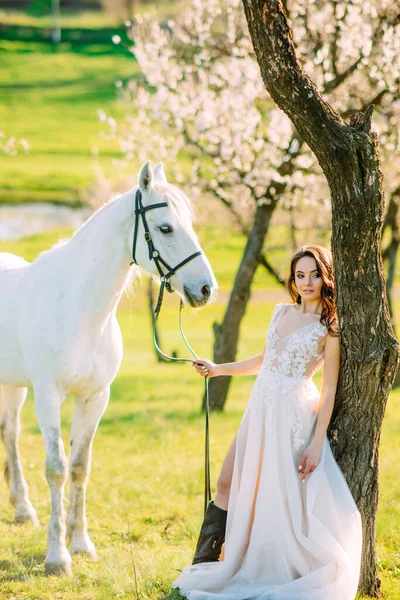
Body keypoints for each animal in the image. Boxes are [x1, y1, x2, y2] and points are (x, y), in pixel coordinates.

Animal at [0, 162, 216, 576]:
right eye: (166, 228)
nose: (206, 289)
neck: (80, 308)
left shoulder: (95, 398)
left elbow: (80, 467)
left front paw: (82, 544)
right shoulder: (48, 397)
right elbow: (57, 468)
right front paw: (57, 557)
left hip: (13, 385)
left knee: (11, 433)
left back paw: (22, 510)